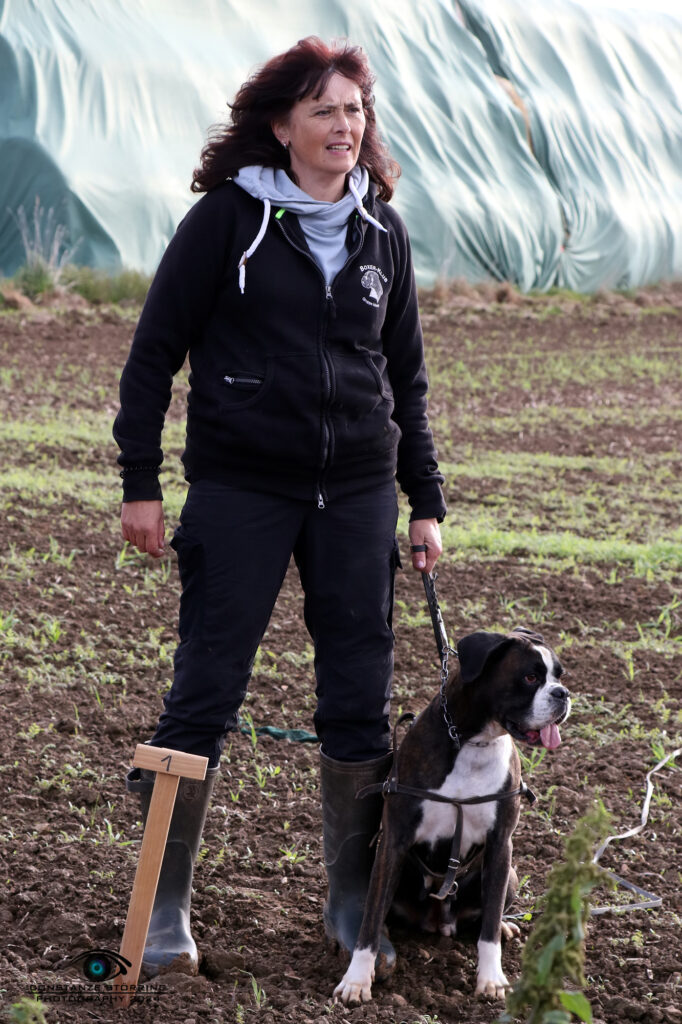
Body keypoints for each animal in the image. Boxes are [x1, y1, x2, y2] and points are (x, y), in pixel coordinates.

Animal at [333, 626, 569, 1003]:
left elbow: (488, 928)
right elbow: (369, 920)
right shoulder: (394, 842)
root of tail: (436, 921)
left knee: (489, 915)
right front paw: (357, 979)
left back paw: (505, 926)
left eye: (559, 676)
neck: (474, 742)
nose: (563, 694)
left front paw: (491, 979)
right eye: (530, 677)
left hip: (511, 874)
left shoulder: (500, 846)